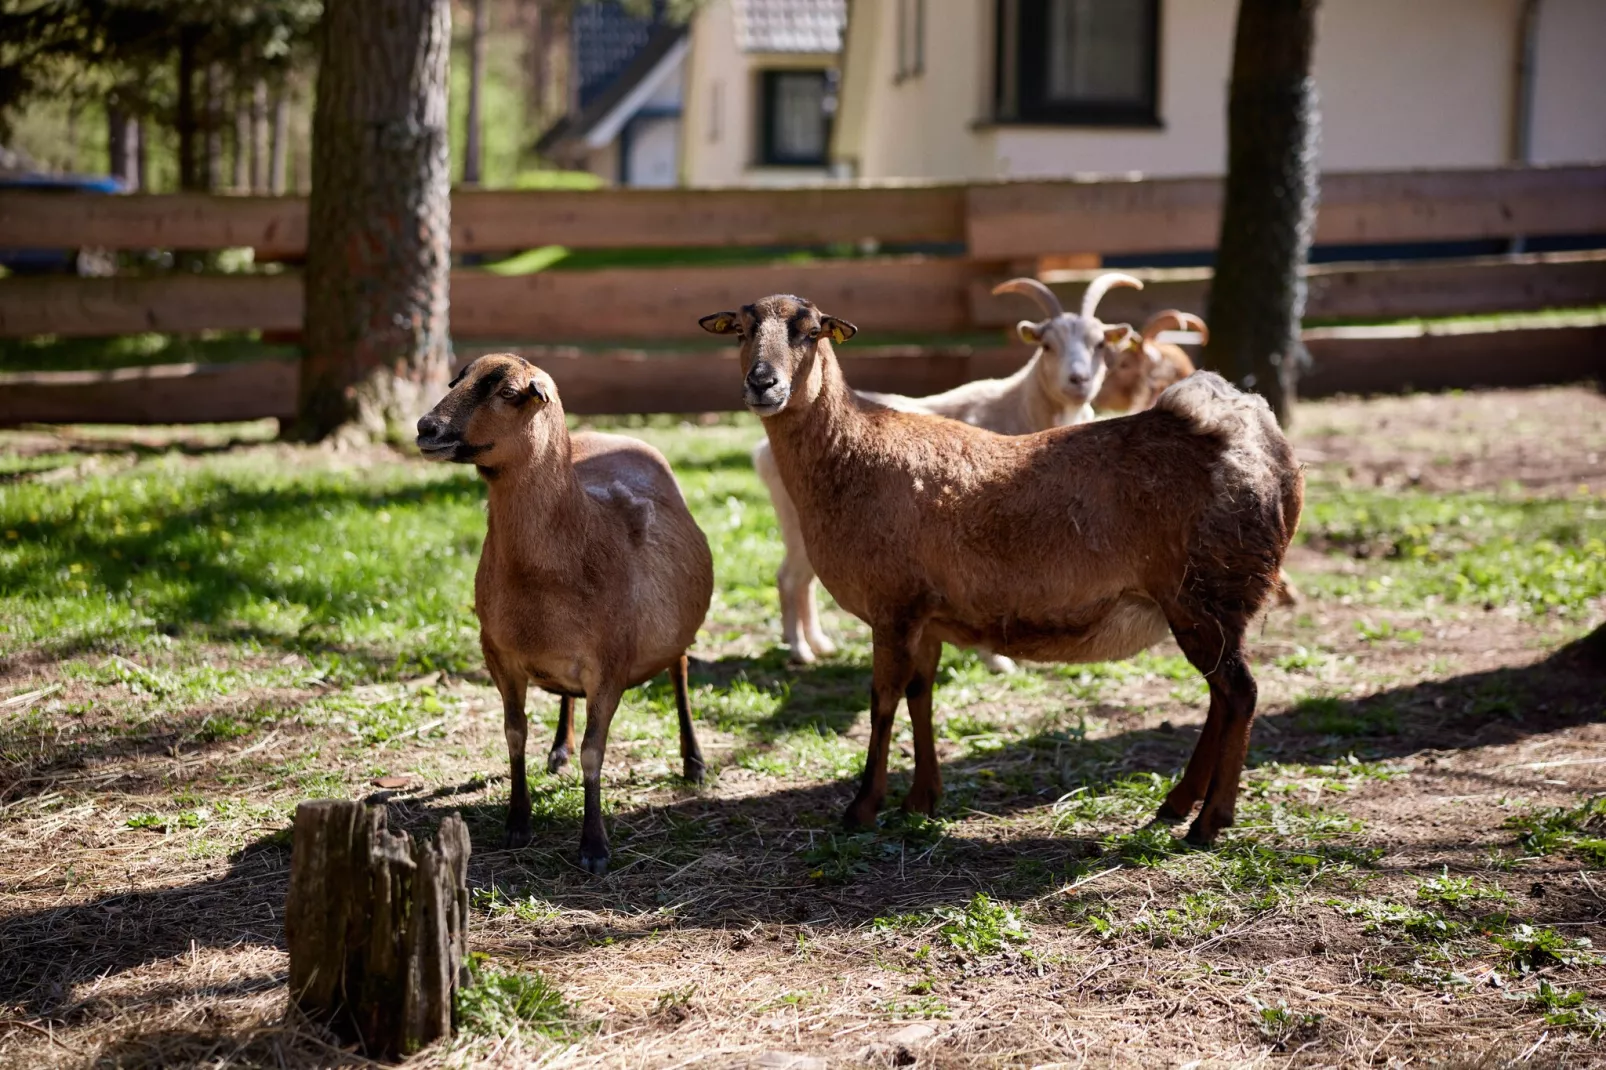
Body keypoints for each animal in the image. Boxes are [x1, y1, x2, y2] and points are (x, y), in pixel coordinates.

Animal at [417, 353, 713, 873]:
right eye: (457, 380)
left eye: (508, 393)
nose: (425, 428)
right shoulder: (498, 654)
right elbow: (514, 735)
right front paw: (518, 822)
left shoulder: (610, 665)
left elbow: (595, 754)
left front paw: (593, 847)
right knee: (565, 698)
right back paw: (558, 750)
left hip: (672, 633)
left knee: (678, 672)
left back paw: (693, 762)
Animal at [703, 294, 1304, 841]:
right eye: (741, 330)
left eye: (810, 332)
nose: (762, 383)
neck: (852, 455)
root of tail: (1258, 439)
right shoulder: (926, 615)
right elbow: (921, 696)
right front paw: (922, 799)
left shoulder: (893, 604)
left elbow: (882, 702)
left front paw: (862, 806)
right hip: (1210, 603)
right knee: (1222, 696)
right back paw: (1177, 804)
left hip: (1206, 592)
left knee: (1240, 693)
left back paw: (1208, 821)